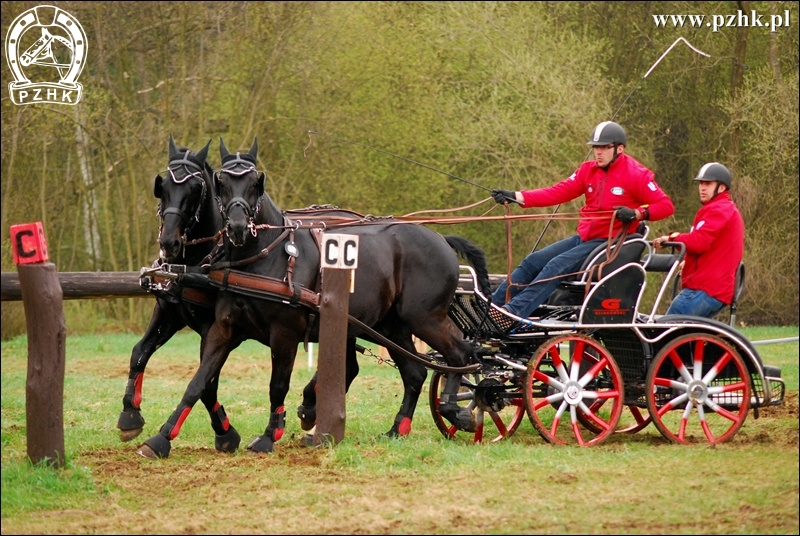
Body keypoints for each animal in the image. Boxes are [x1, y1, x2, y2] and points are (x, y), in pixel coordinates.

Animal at [115, 135, 241, 452]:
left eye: (195, 189)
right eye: (163, 187)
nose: (169, 242)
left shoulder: (217, 330)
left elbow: (206, 383)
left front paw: (225, 432)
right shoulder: (169, 312)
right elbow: (139, 352)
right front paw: (130, 414)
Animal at [138, 138, 490, 456]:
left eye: (254, 183)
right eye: (221, 183)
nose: (237, 227)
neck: (262, 256)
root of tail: (440, 237)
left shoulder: (284, 332)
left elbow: (276, 385)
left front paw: (269, 436)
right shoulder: (222, 328)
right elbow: (198, 381)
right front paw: (161, 438)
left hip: (424, 318)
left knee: (460, 354)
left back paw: (456, 410)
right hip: (390, 326)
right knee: (414, 373)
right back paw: (396, 429)